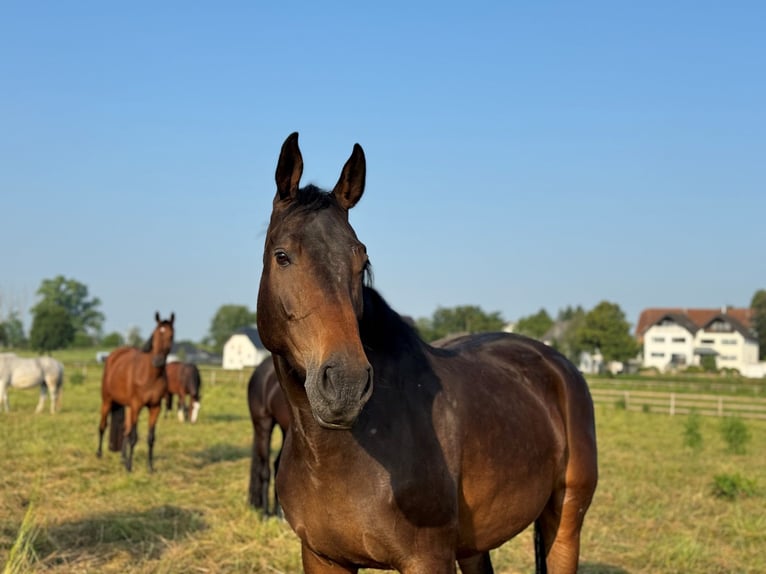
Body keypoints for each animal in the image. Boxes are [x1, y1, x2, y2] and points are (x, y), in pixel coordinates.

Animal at [97, 316, 176, 472]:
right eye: (155, 335)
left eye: (171, 336)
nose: (158, 361)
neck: (150, 375)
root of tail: (113, 356)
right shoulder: (137, 406)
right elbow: (134, 436)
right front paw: (129, 467)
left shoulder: (155, 407)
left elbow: (150, 438)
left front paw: (150, 467)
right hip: (108, 401)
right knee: (103, 426)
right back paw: (99, 453)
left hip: (128, 407)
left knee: (124, 430)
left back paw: (122, 458)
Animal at [256, 133, 600, 572]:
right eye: (282, 256)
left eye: (361, 260)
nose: (345, 384)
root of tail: (557, 365)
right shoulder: (321, 557)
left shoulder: (427, 558)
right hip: (474, 544)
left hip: (565, 520)